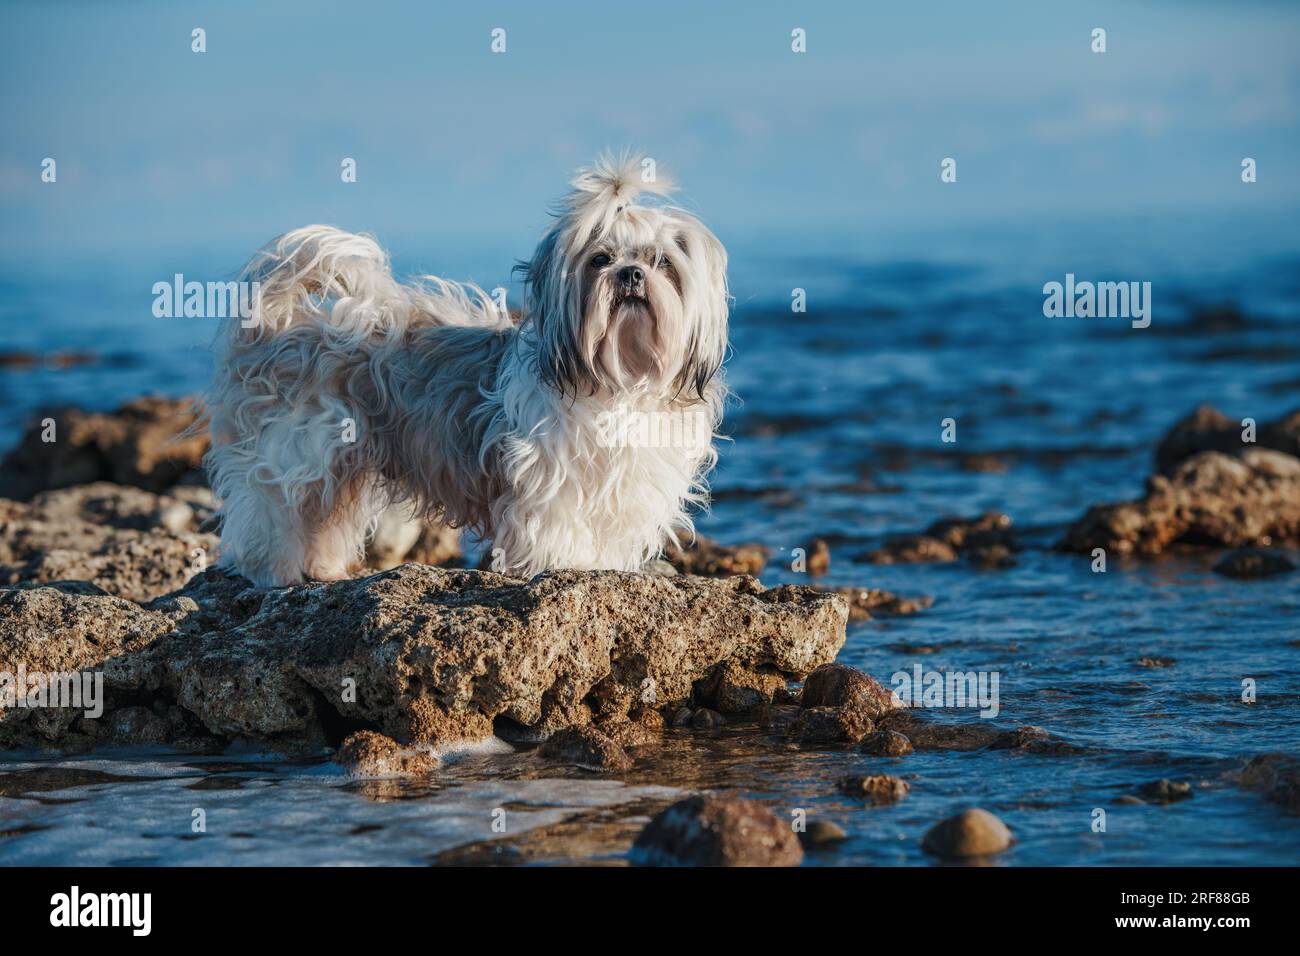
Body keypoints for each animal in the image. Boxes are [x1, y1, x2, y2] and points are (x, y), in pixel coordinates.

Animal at [208, 154, 728, 587]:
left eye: (662, 261)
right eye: (601, 258)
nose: (630, 274)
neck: (620, 378)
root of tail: (279, 325)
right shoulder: (550, 480)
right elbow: (556, 527)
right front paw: (562, 567)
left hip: (345, 460)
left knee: (326, 515)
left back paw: (323, 569)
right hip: (299, 447)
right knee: (272, 508)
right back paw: (276, 570)